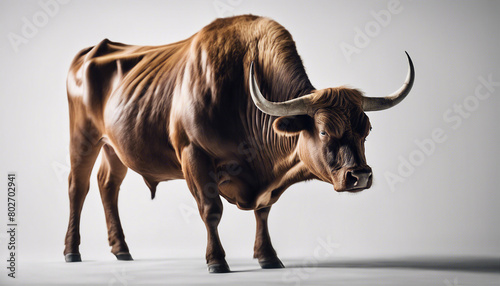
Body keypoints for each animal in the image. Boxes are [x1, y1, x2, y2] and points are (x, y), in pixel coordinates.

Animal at [63, 15, 414, 272]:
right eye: (325, 131)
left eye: (366, 129)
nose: (361, 175)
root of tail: (93, 50)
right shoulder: (194, 157)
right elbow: (211, 210)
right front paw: (217, 261)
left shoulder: (265, 182)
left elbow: (263, 212)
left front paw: (268, 257)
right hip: (83, 138)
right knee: (78, 186)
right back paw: (71, 251)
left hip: (115, 147)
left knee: (108, 185)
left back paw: (122, 250)